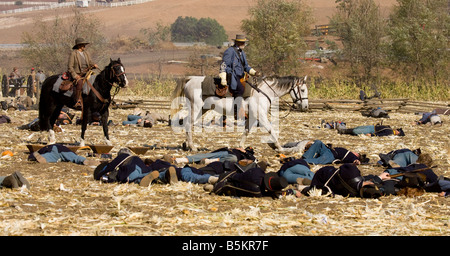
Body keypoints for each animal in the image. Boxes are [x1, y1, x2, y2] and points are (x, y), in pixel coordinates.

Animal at [170, 76, 310, 151]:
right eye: (302, 90)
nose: (305, 107)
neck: (263, 92)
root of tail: (191, 79)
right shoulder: (261, 117)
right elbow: (272, 131)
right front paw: (280, 148)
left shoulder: (253, 118)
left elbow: (246, 131)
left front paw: (241, 146)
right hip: (196, 109)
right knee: (188, 124)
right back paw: (192, 147)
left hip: (201, 110)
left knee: (187, 124)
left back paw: (187, 145)